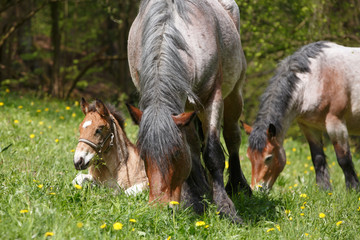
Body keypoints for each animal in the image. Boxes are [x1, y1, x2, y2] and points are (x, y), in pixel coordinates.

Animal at [126, 0, 250, 222]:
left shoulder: (212, 99)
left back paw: (237, 185)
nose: (159, 208)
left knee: (232, 136)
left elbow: (213, 153)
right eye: (143, 155)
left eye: (176, 153)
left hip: (234, 94)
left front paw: (226, 209)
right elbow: (193, 154)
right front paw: (194, 201)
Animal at [243, 41, 358, 191]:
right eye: (249, 157)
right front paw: (324, 190)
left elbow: (344, 159)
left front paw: (353, 190)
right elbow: (318, 158)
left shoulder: (336, 124)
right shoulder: (309, 127)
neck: (317, 78)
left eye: (268, 157)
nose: (257, 189)